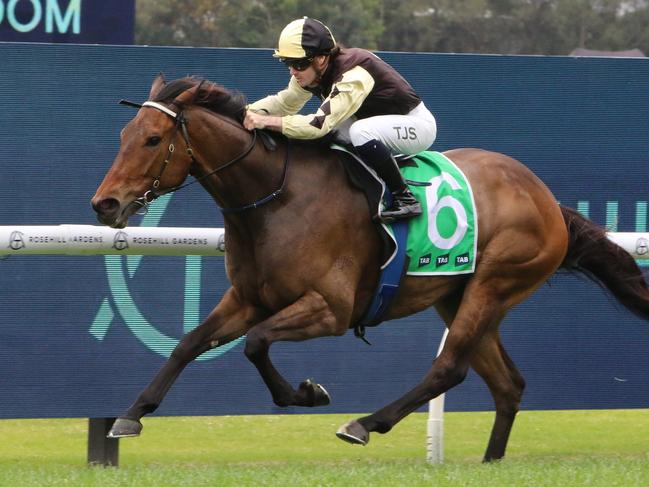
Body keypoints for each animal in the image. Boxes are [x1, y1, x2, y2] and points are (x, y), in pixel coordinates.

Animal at [90, 75, 648, 462]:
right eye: (124, 133)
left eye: (153, 139)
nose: (105, 204)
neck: (277, 199)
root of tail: (547, 199)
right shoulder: (248, 299)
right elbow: (189, 344)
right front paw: (130, 417)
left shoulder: (330, 309)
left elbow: (256, 343)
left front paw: (306, 394)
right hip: (459, 295)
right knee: (507, 384)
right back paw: (491, 461)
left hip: (495, 283)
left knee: (449, 367)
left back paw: (364, 424)